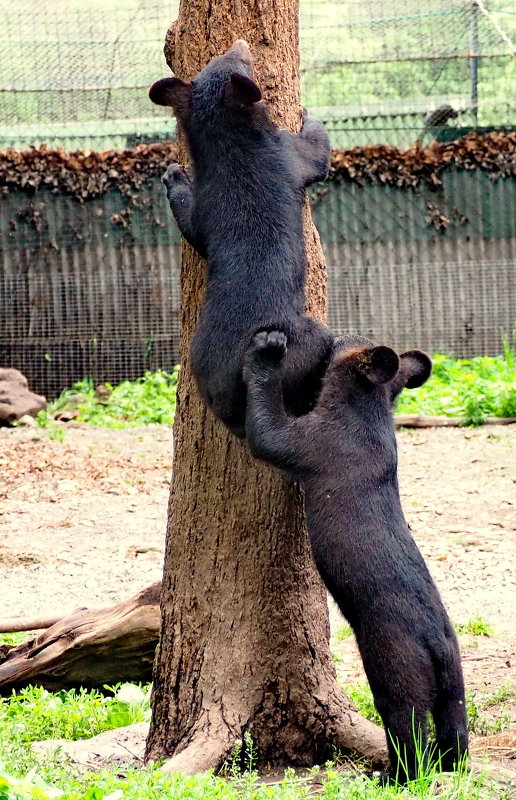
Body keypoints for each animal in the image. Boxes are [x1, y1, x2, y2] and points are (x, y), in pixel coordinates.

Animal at [151, 39, 332, 434]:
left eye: (221, 59)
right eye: (241, 60)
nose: (241, 42)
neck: (227, 137)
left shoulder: (207, 203)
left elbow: (192, 222)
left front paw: (173, 173)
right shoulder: (286, 154)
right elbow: (316, 153)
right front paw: (308, 112)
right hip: (299, 344)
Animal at [244, 330, 470, 780]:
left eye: (350, 340)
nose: (336, 333)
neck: (369, 411)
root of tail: (437, 647)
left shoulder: (301, 439)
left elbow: (265, 422)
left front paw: (268, 347)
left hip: (394, 677)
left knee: (408, 733)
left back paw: (390, 777)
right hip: (455, 690)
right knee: (455, 736)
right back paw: (446, 765)